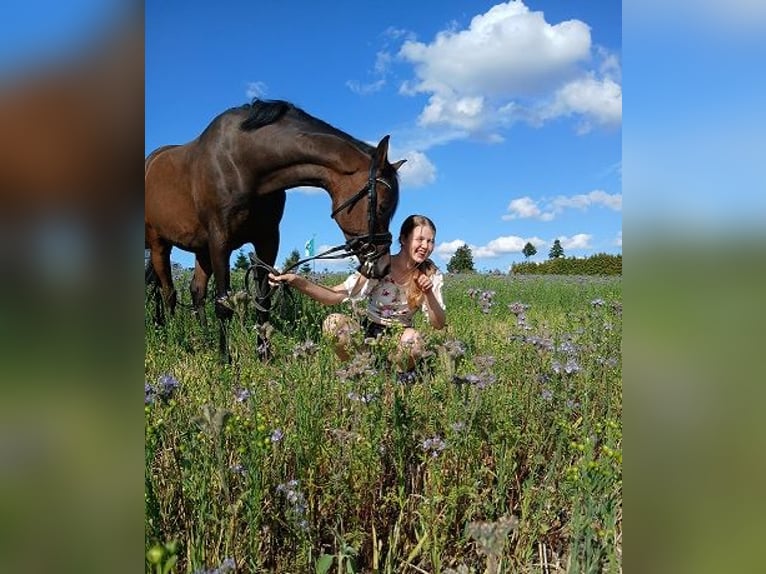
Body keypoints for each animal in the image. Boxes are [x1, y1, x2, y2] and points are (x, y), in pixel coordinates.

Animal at [145, 98, 405, 353]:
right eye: (382, 207)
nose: (383, 266)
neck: (242, 163)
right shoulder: (220, 242)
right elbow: (223, 305)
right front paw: (225, 359)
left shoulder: (267, 240)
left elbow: (263, 300)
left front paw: (264, 354)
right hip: (160, 244)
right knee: (167, 292)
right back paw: (173, 338)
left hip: (201, 250)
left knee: (196, 291)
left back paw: (205, 339)